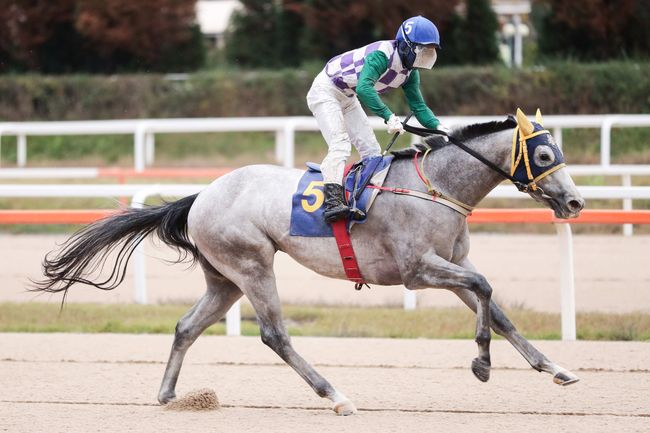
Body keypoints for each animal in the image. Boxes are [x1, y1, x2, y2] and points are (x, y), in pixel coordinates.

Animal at [35, 108, 584, 416]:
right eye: (543, 154)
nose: (575, 202)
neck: (435, 186)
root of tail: (200, 196)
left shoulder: (448, 268)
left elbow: (497, 308)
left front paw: (556, 368)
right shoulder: (417, 271)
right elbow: (486, 286)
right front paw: (481, 364)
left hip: (224, 279)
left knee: (186, 326)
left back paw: (170, 396)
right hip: (253, 264)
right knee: (274, 335)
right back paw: (335, 395)